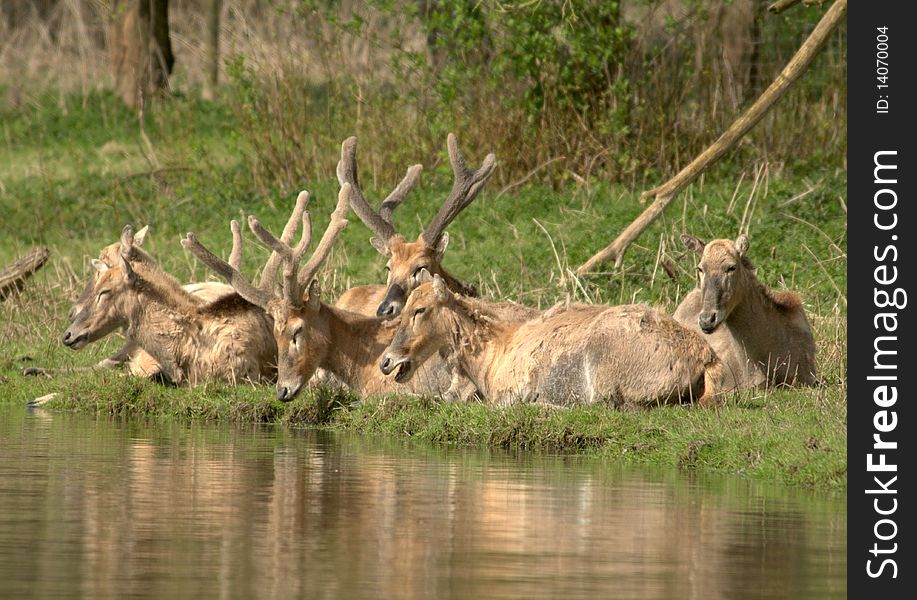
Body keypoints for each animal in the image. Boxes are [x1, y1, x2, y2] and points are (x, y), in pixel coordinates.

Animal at [380, 276, 724, 408]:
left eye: (419, 309)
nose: (386, 361)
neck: (490, 359)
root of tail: (706, 359)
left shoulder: (506, 392)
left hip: (607, 374)